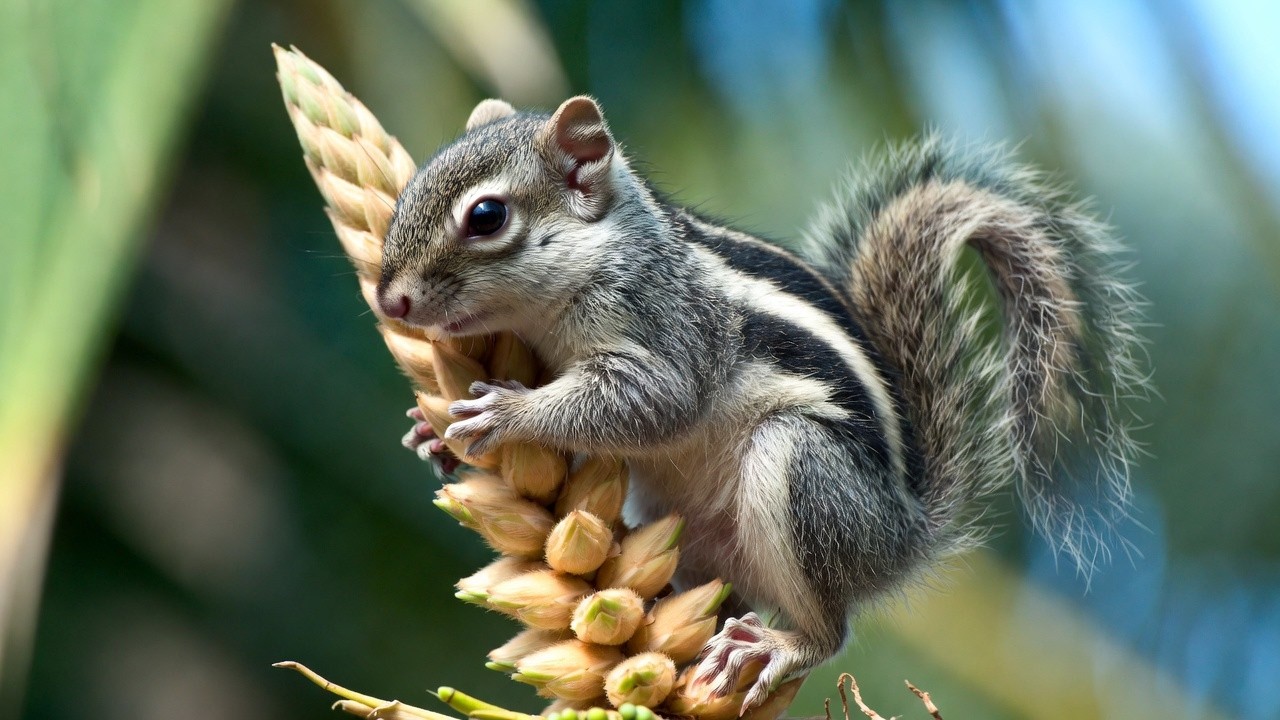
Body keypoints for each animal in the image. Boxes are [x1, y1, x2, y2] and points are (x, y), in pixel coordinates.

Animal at [381, 97, 1147, 712]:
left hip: (801, 469)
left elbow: (650, 404)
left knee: (831, 631)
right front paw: (429, 431)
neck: (603, 250)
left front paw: (503, 414)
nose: (391, 301)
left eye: (486, 216)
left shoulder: (669, 334)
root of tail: (903, 536)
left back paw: (781, 648)